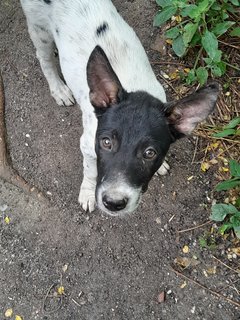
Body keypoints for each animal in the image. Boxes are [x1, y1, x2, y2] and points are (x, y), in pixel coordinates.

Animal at [20, 0, 219, 216]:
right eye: (106, 142)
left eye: (150, 153)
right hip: (38, 28)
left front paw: (160, 166)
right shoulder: (87, 145)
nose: (114, 203)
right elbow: (90, 171)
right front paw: (87, 194)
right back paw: (59, 89)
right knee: (44, 58)